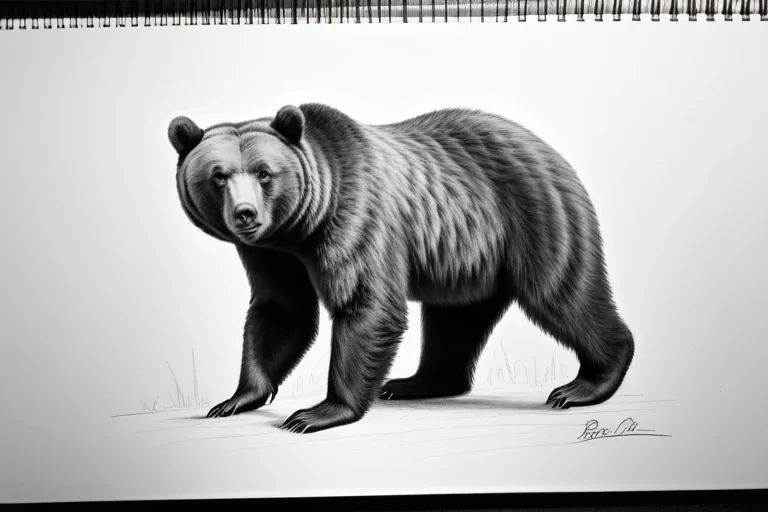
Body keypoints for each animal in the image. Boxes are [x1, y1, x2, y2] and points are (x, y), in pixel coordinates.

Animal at [167, 103, 635, 434]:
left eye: (265, 173)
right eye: (219, 176)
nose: (245, 214)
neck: (300, 230)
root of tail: (548, 147)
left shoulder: (356, 218)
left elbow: (366, 306)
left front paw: (316, 412)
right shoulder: (271, 254)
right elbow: (282, 311)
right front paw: (235, 398)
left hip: (535, 215)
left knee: (560, 293)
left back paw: (584, 384)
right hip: (466, 253)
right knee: (455, 322)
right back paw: (413, 383)